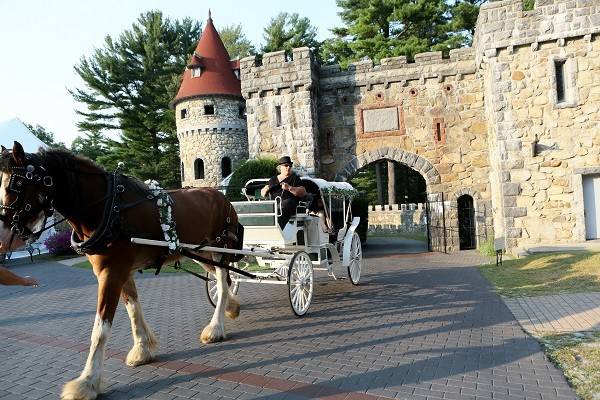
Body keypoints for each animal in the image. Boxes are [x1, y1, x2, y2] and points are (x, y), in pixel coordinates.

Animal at [2, 142, 241, 398]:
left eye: (15, 185)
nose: (3, 238)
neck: (107, 208)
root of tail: (221, 196)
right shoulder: (120, 271)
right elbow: (133, 308)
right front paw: (142, 348)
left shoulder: (111, 273)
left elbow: (100, 329)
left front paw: (87, 381)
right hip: (199, 252)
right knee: (223, 279)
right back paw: (231, 308)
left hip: (220, 247)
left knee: (222, 281)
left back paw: (215, 327)